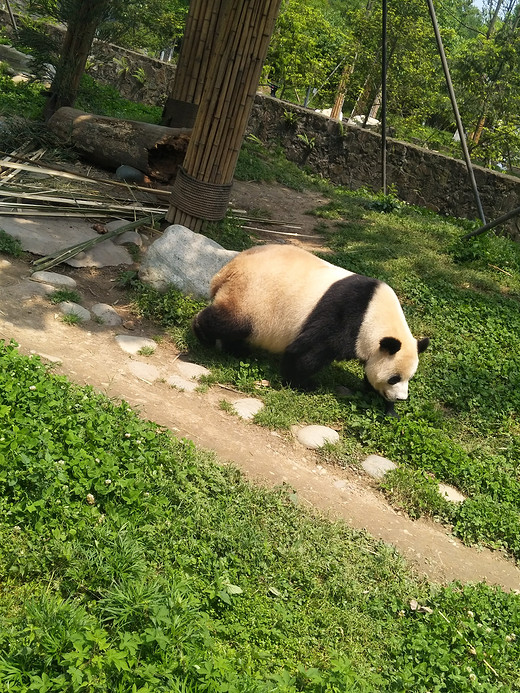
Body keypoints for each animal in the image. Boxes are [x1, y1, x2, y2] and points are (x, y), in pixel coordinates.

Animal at [193, 245, 428, 414]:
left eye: (409, 378)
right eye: (394, 378)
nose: (401, 398)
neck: (373, 313)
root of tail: (226, 270)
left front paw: (386, 406)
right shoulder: (344, 316)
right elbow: (308, 351)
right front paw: (302, 384)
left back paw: (237, 350)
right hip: (251, 297)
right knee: (231, 323)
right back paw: (203, 334)